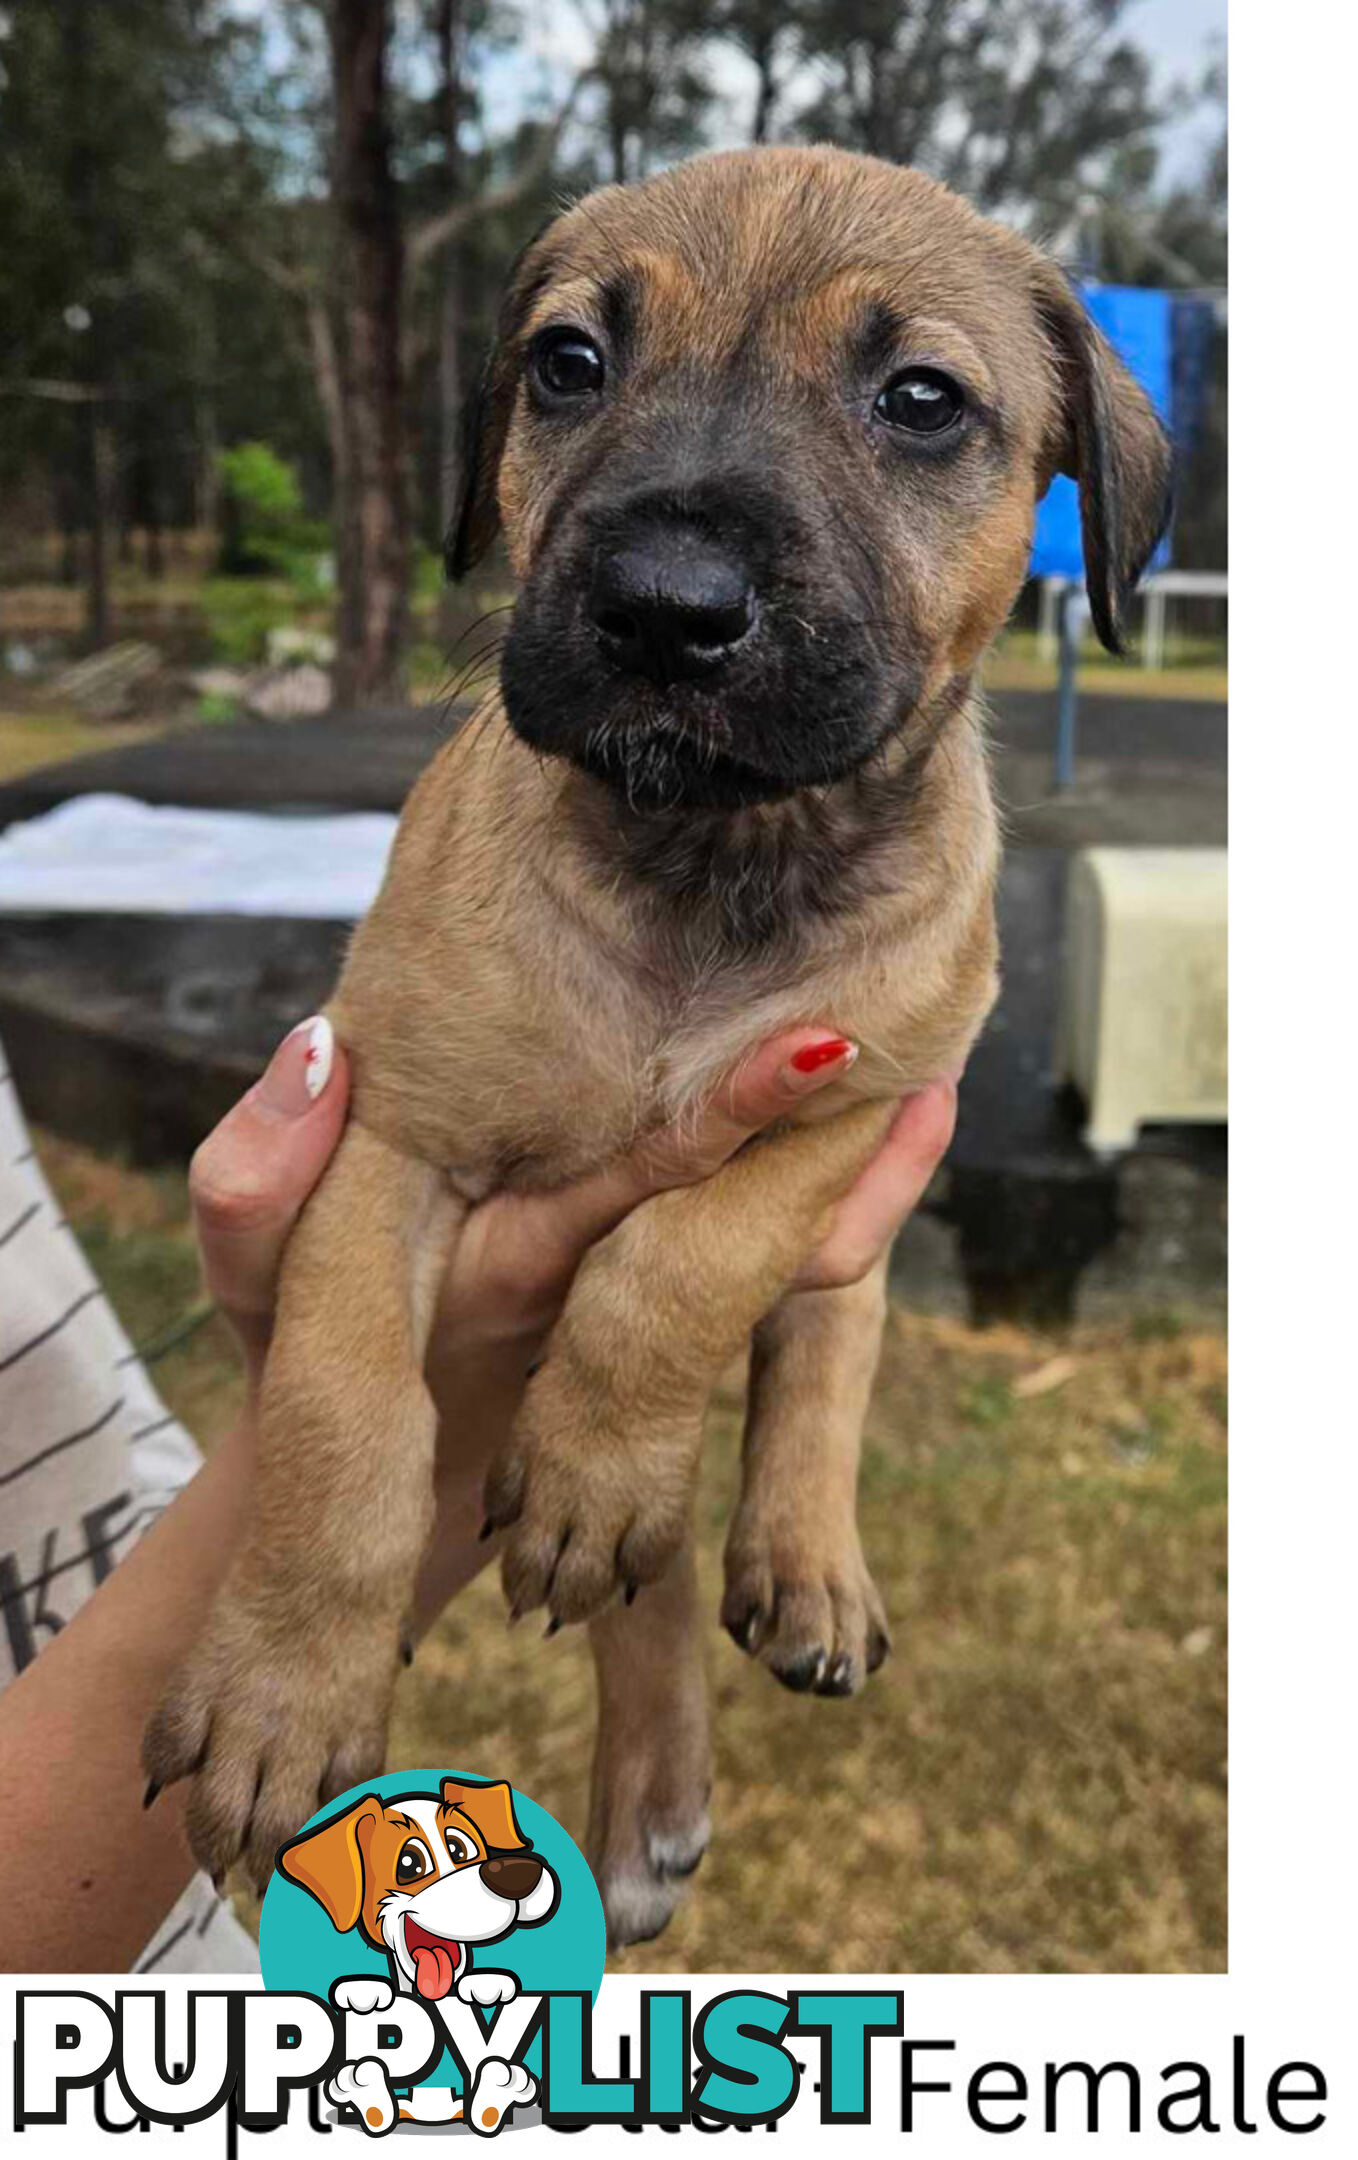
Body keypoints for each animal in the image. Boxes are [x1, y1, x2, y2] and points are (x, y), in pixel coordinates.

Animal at [145, 143, 1165, 1952]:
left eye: (919, 400)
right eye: (568, 364)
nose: (661, 613)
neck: (711, 856)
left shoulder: (856, 1104)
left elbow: (679, 1261)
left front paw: (613, 1434)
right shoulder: (387, 1139)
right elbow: (345, 1428)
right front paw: (280, 1695)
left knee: (807, 1366)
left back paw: (791, 1566)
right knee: (641, 1544)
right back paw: (644, 1785)